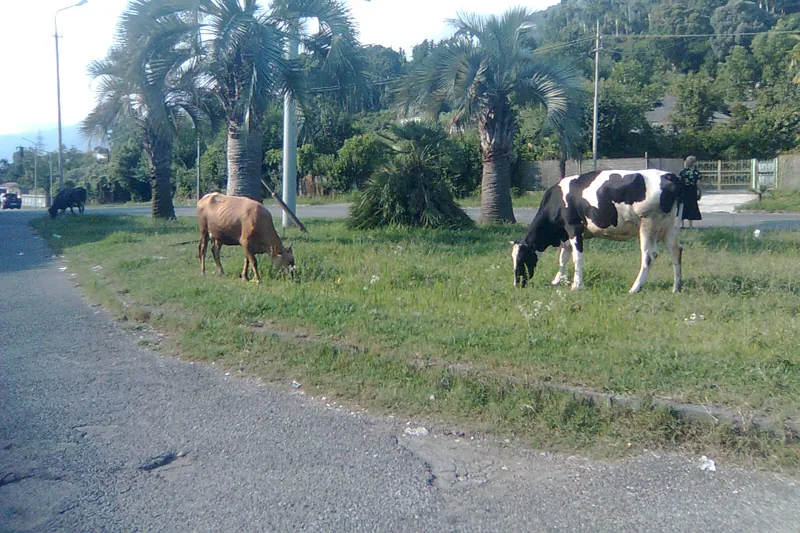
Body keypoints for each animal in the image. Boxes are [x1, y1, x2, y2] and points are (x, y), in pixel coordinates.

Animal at [511, 169, 684, 294]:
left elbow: (576, 258)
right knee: (676, 252)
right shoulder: (565, 235)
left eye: (522, 259)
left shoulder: (574, 227)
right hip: (671, 228)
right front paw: (557, 280)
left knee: (648, 257)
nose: (517, 284)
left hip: (648, 224)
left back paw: (634, 288)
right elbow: (563, 258)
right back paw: (676, 288)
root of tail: (669, 175)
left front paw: (576, 285)